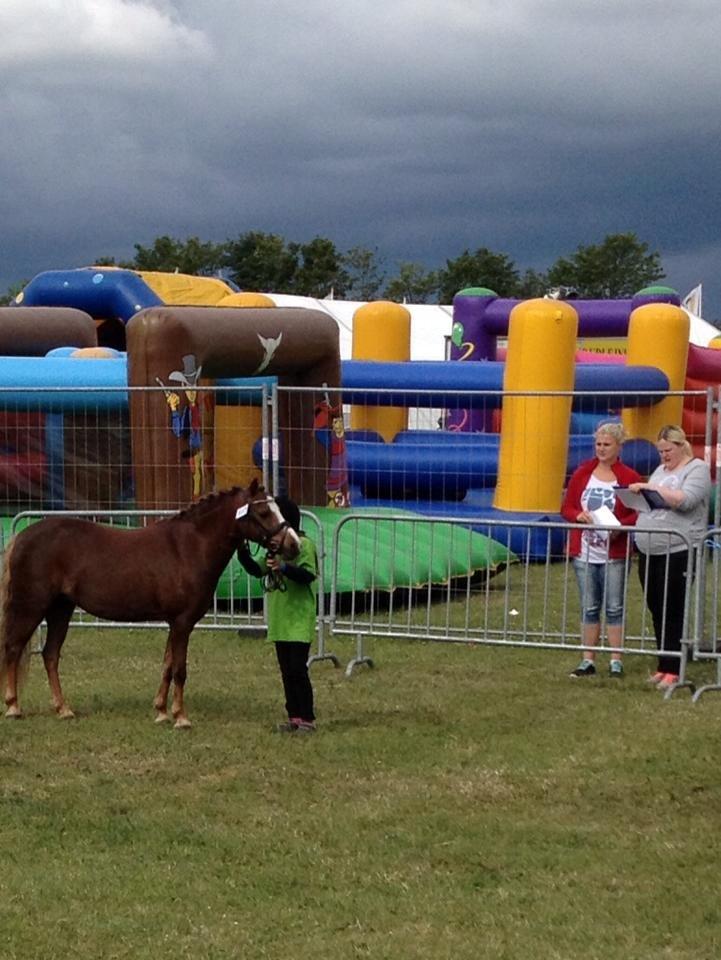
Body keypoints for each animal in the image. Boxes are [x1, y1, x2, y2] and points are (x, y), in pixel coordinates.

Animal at [0, 480, 298, 728]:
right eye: (263, 512)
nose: (293, 545)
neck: (189, 547)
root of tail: (21, 537)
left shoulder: (174, 623)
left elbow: (167, 666)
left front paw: (161, 712)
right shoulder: (183, 623)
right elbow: (179, 670)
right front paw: (181, 717)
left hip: (60, 609)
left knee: (50, 654)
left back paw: (63, 709)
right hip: (32, 607)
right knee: (13, 648)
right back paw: (13, 707)